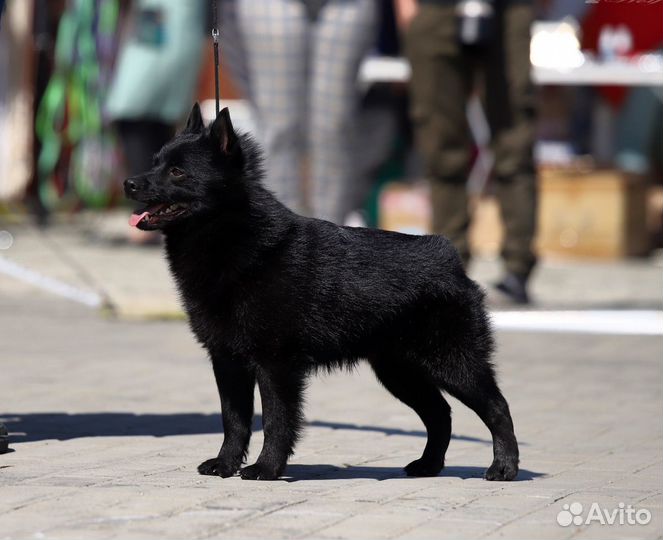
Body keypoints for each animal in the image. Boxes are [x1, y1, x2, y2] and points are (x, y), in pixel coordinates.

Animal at [124, 103, 520, 478]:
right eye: (155, 162)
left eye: (177, 171)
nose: (128, 183)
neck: (233, 237)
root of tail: (447, 255)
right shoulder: (227, 361)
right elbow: (233, 422)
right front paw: (225, 465)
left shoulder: (275, 364)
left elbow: (277, 421)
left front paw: (267, 469)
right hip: (399, 371)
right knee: (440, 414)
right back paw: (428, 465)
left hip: (453, 364)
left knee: (497, 407)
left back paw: (504, 468)